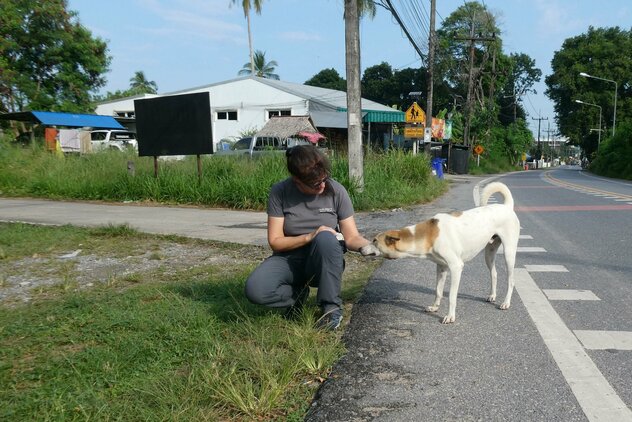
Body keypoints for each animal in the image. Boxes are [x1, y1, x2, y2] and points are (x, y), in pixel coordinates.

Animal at [376, 181, 520, 324]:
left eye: (374, 241)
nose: (366, 247)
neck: (429, 234)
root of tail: (507, 207)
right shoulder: (441, 267)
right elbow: (438, 291)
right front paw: (434, 307)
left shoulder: (456, 267)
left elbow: (451, 296)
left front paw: (450, 316)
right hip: (489, 254)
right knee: (494, 274)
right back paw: (492, 295)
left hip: (509, 254)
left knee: (511, 281)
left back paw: (506, 302)